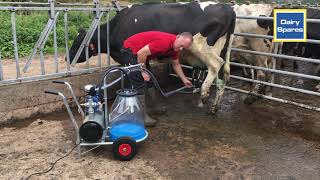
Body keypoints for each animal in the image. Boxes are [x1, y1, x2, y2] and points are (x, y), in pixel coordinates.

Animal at [67, 1, 236, 114]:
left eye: (76, 43)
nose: (67, 59)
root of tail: (228, 8)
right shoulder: (143, 58)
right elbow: (147, 78)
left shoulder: (129, 57)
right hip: (222, 48)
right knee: (222, 76)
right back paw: (214, 107)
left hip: (203, 46)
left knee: (216, 64)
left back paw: (203, 93)